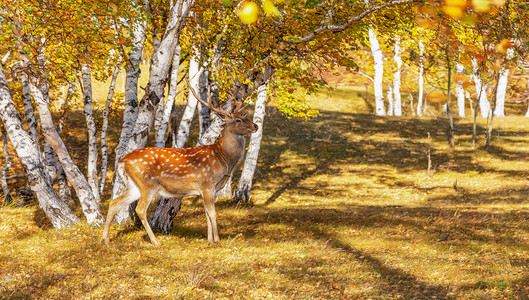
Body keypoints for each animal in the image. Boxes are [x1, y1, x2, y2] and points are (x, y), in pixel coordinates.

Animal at [101, 82, 258, 246]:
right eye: (237, 120)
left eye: (244, 116)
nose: (256, 126)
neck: (223, 158)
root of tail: (122, 161)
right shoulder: (207, 183)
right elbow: (213, 213)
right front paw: (217, 241)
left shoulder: (211, 189)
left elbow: (207, 213)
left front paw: (209, 241)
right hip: (147, 183)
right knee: (140, 209)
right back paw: (155, 241)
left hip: (134, 185)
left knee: (114, 203)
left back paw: (105, 239)